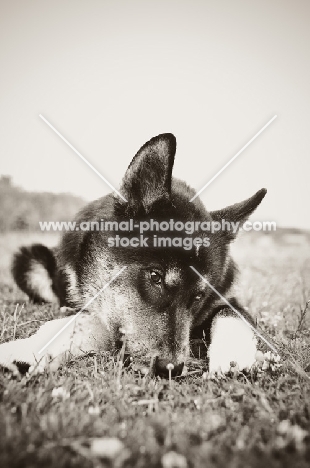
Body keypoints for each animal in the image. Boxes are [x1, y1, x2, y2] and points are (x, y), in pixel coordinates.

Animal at [0, 132, 266, 376]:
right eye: (155, 277)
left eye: (199, 296)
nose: (171, 369)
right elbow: (82, 323)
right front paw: (27, 350)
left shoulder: (227, 300)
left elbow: (231, 314)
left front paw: (232, 356)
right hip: (29, 261)